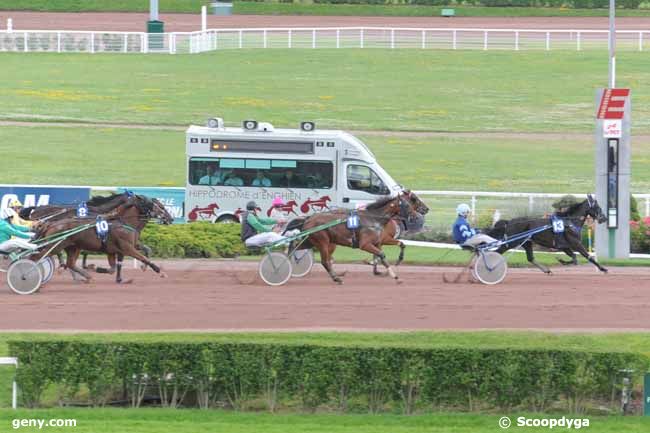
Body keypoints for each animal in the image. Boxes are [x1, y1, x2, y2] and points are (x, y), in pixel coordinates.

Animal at [292, 192, 422, 284]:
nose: (416, 217)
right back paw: (336, 278)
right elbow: (381, 255)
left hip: (313, 241)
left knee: (296, 248)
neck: (373, 219)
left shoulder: (377, 243)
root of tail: (308, 219)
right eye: (407, 204)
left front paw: (395, 276)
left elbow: (383, 257)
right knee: (325, 261)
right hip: (323, 242)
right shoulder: (365, 244)